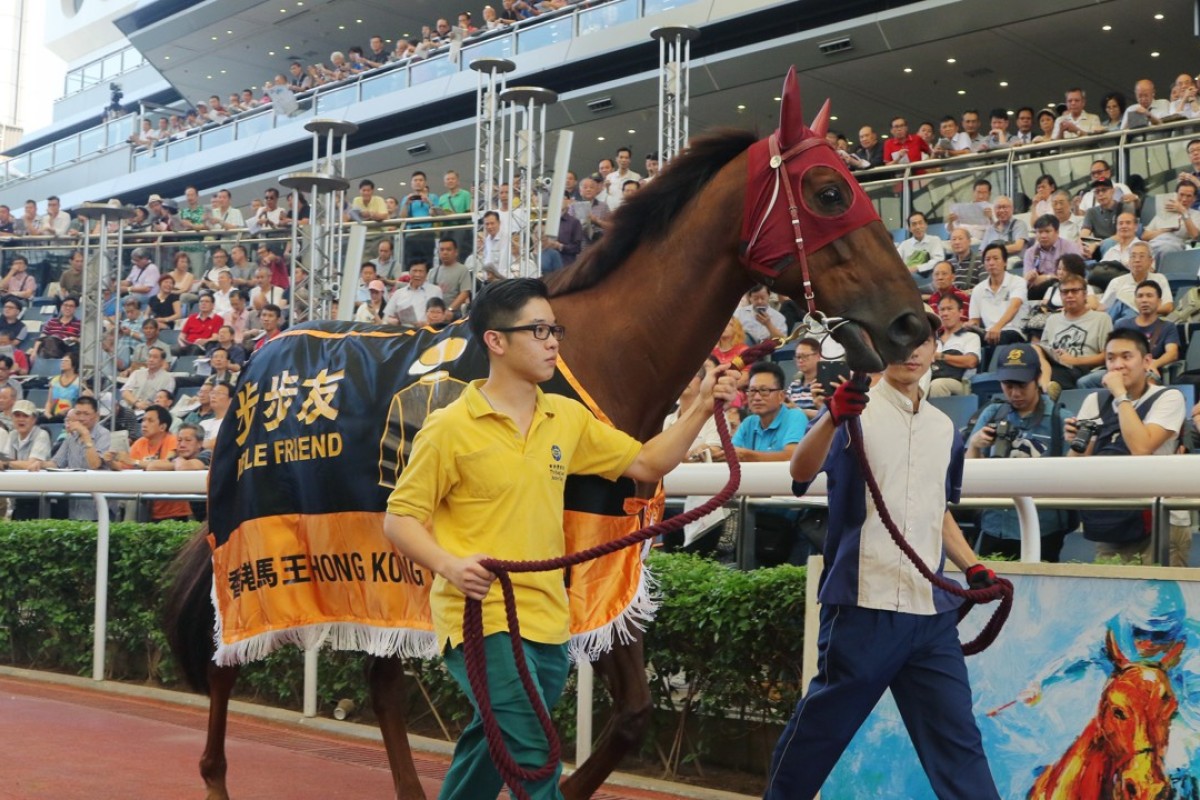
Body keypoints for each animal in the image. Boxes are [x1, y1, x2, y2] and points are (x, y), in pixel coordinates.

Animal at [162, 64, 926, 800]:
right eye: (828, 192)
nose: (912, 323)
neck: (598, 354)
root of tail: (259, 351)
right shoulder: (553, 557)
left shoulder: (601, 553)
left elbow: (628, 716)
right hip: (261, 550)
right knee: (226, 661)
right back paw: (214, 775)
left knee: (382, 686)